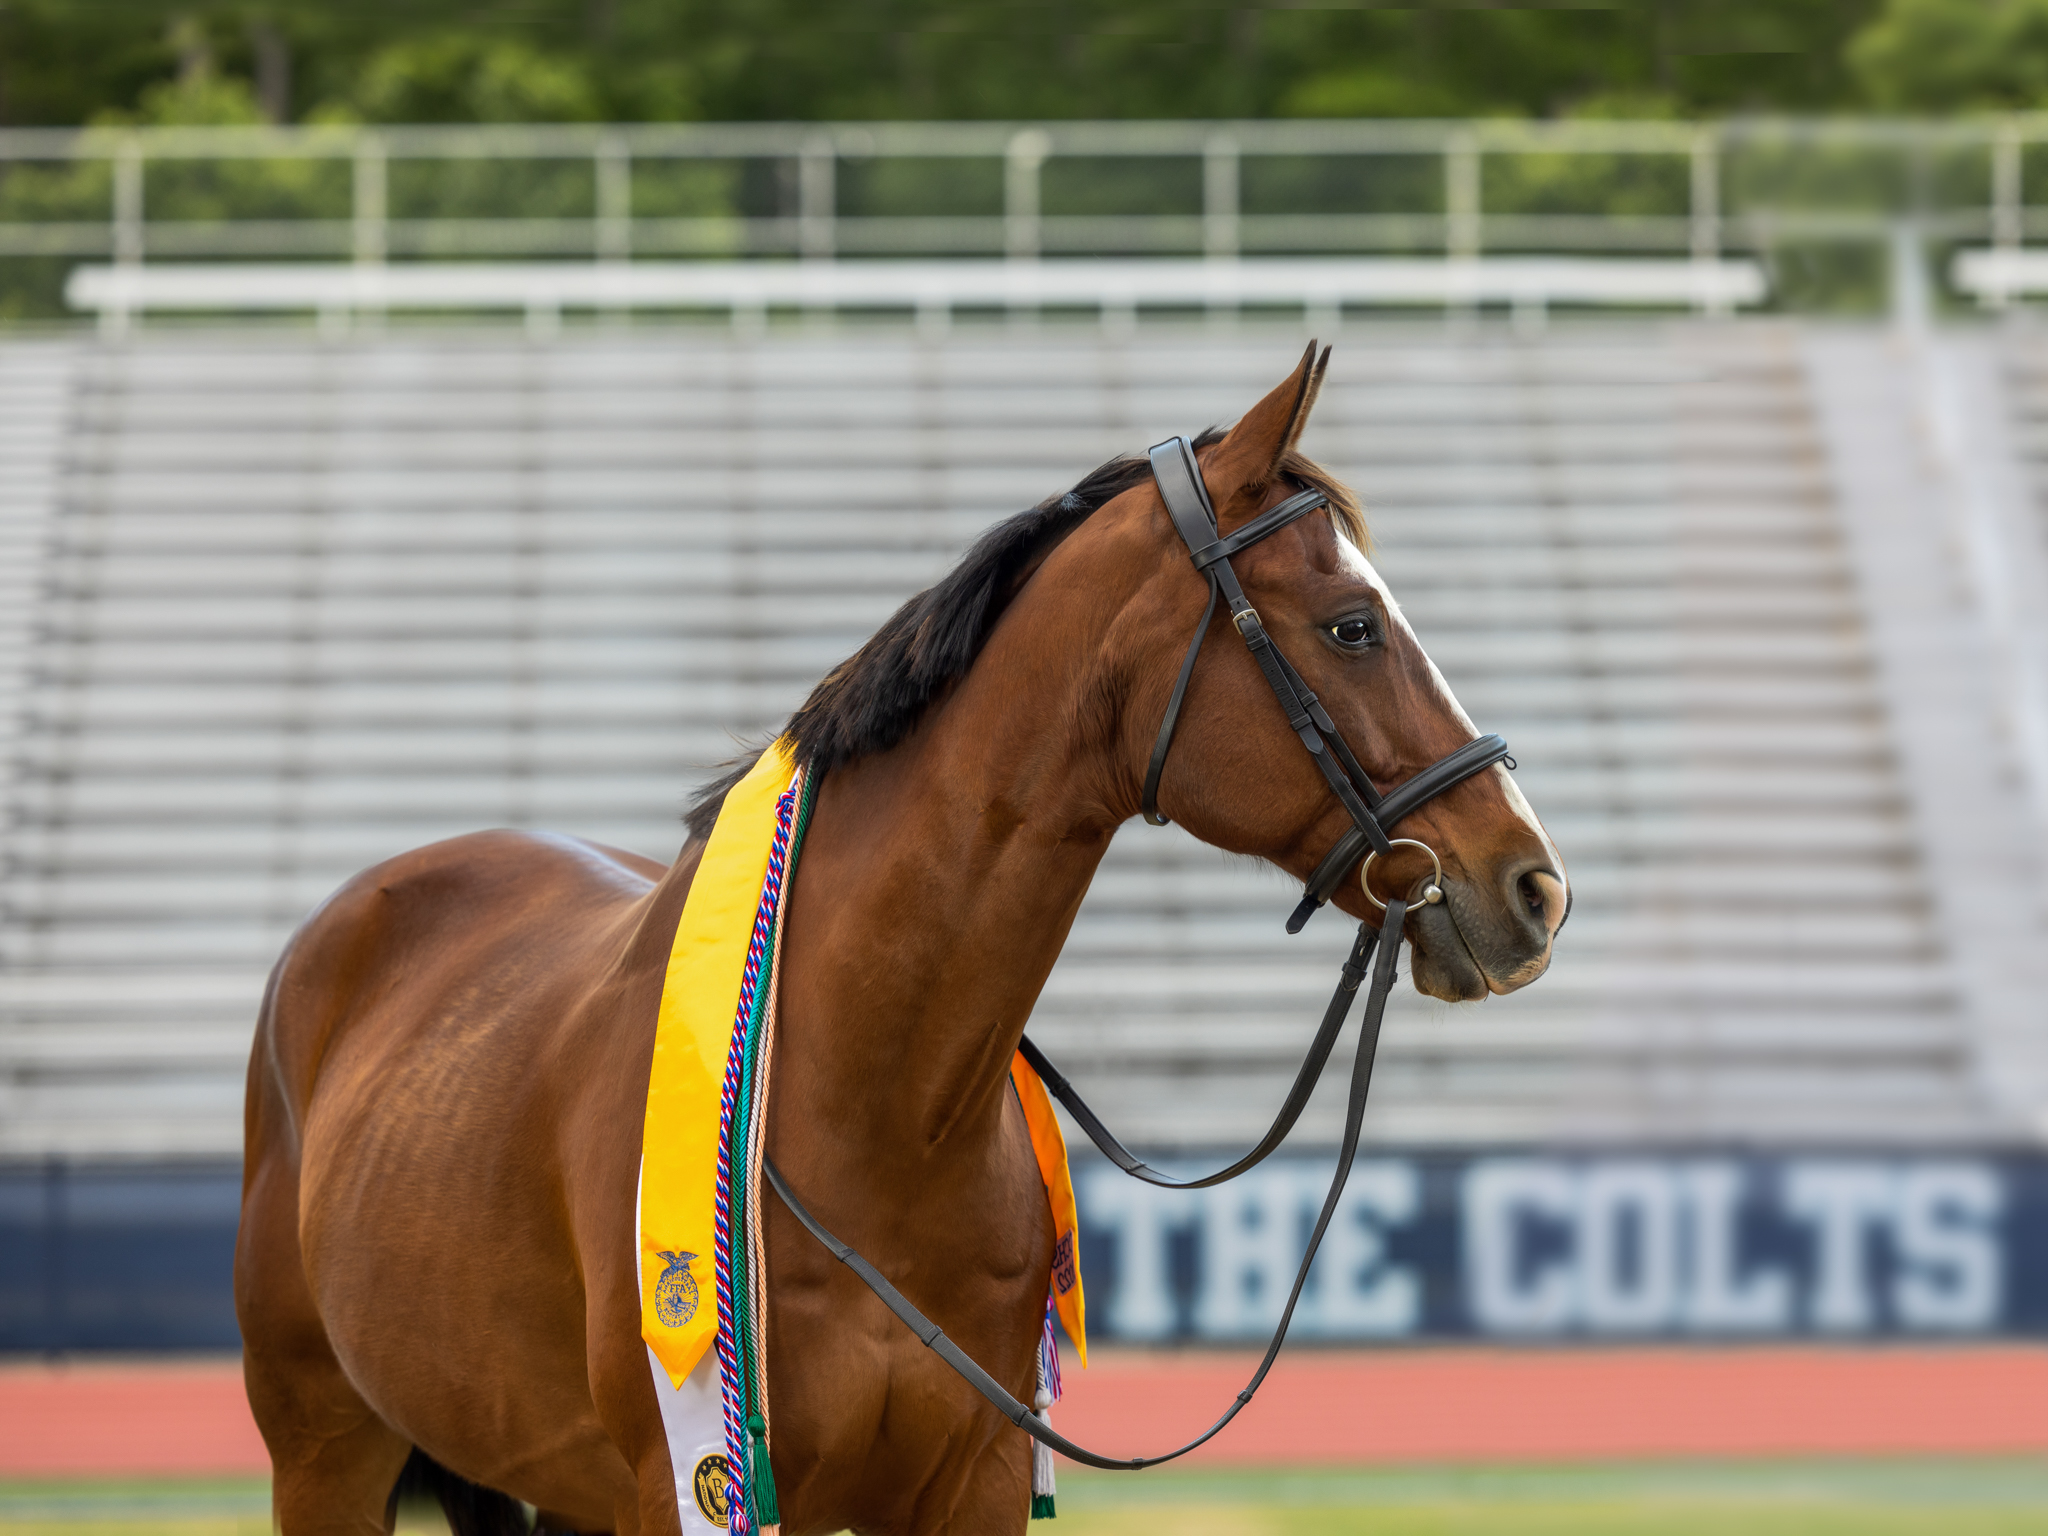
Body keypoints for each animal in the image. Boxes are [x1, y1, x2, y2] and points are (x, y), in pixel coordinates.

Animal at [232, 348, 1556, 1536]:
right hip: (327, 1454)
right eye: (1351, 626)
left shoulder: (968, 1490)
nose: (1531, 884)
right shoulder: (692, 1491)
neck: (864, 1108)